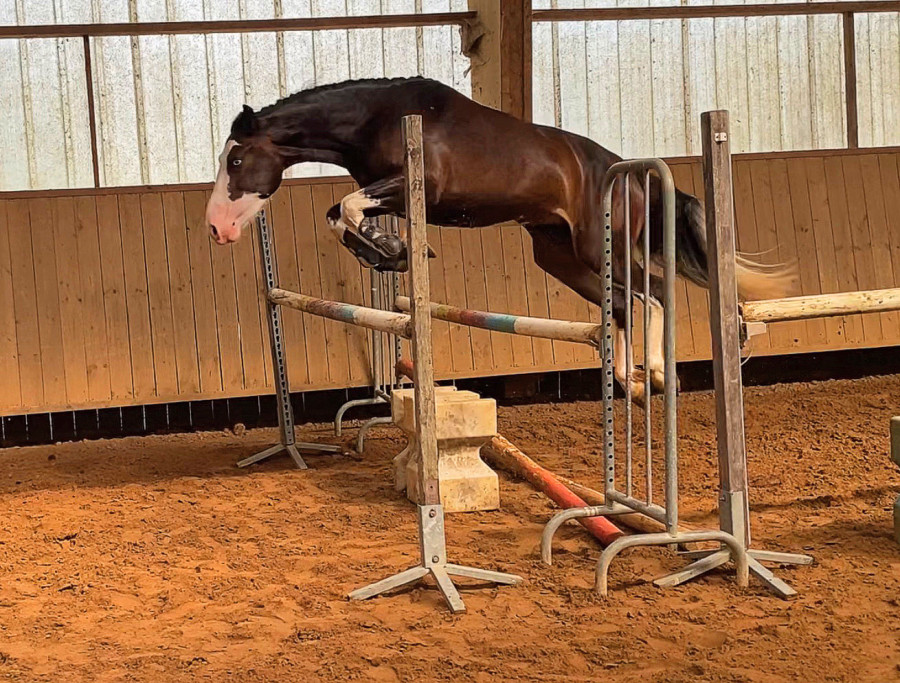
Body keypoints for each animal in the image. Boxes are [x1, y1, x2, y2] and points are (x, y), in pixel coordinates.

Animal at [205, 76, 794, 404]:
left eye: (235, 161)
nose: (217, 228)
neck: (375, 117)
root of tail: (629, 173)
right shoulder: (392, 195)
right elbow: (337, 214)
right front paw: (390, 253)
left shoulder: (418, 187)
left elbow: (346, 207)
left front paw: (394, 251)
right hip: (559, 255)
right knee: (626, 302)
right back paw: (629, 382)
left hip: (596, 247)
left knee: (650, 296)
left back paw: (650, 374)